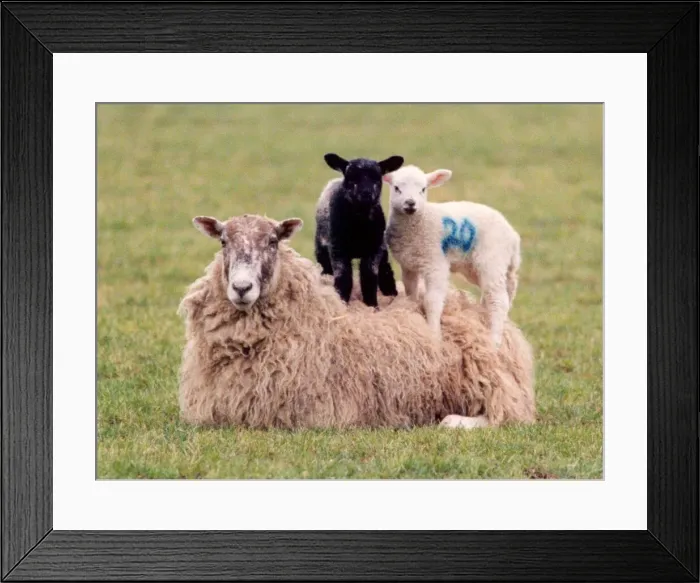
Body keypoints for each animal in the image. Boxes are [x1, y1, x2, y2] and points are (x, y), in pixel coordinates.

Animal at [178, 213, 535, 430]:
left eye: (273, 242)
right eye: (223, 242)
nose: (241, 288)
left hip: (489, 377)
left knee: (509, 414)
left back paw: (451, 421)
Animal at [314, 153, 404, 308]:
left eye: (377, 178)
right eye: (351, 178)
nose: (366, 193)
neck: (359, 226)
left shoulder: (374, 249)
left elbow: (369, 277)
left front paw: (372, 305)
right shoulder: (338, 249)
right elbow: (344, 278)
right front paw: (342, 301)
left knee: (385, 268)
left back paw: (390, 292)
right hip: (322, 247)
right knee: (326, 268)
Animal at [383, 165, 521, 348]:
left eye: (423, 189)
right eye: (396, 188)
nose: (410, 204)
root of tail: (512, 235)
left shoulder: (436, 263)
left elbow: (432, 300)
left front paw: (434, 334)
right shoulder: (408, 265)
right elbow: (411, 293)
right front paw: (412, 312)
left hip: (491, 259)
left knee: (498, 299)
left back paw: (494, 340)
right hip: (483, 266)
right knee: (507, 288)